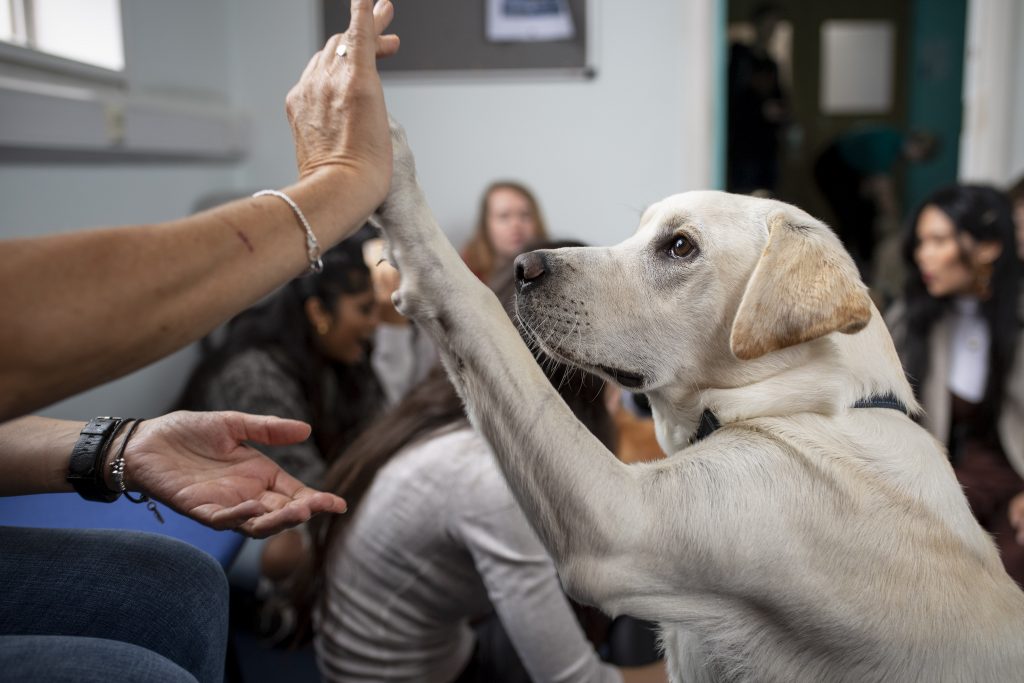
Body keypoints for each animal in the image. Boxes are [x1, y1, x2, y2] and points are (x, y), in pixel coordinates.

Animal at [374, 124, 1024, 683]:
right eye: (641, 231)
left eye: (680, 246)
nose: (523, 266)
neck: (810, 409)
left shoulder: (616, 524)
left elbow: (472, 304)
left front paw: (389, 171)